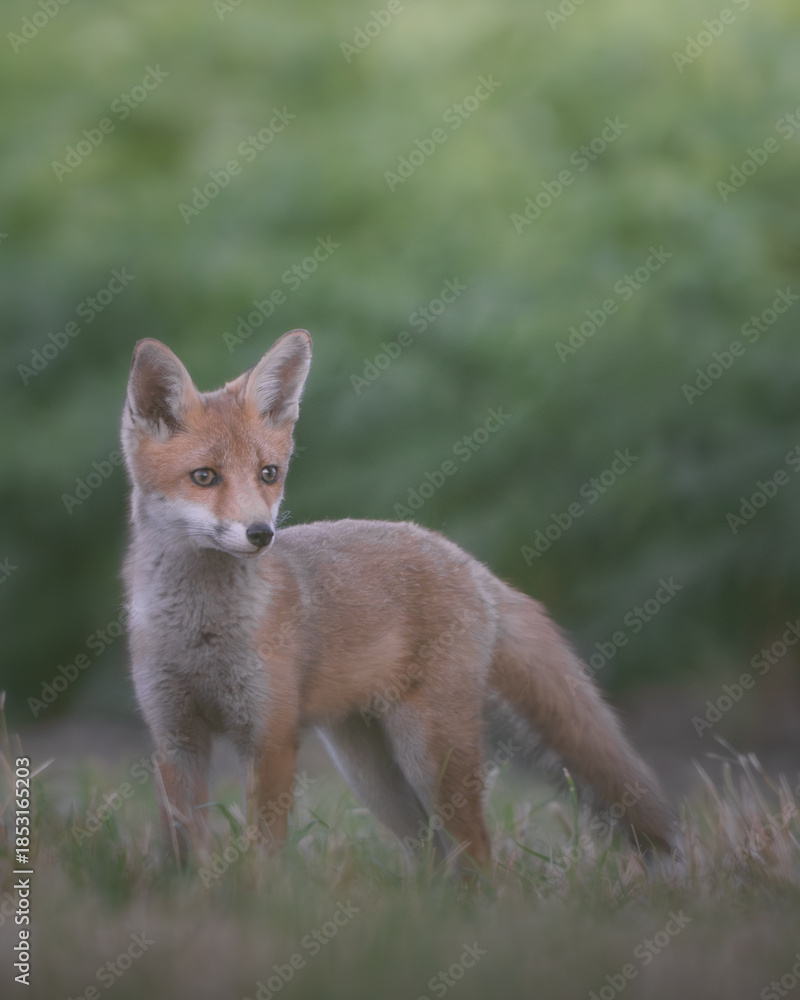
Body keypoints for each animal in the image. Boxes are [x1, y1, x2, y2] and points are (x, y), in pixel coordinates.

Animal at [121, 329, 677, 871]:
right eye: (204, 477)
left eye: (268, 474)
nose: (262, 534)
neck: (201, 630)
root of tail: (464, 559)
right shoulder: (175, 739)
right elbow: (185, 849)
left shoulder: (270, 738)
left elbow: (262, 856)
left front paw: (257, 895)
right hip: (371, 775)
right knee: (432, 858)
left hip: (429, 755)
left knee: (482, 856)